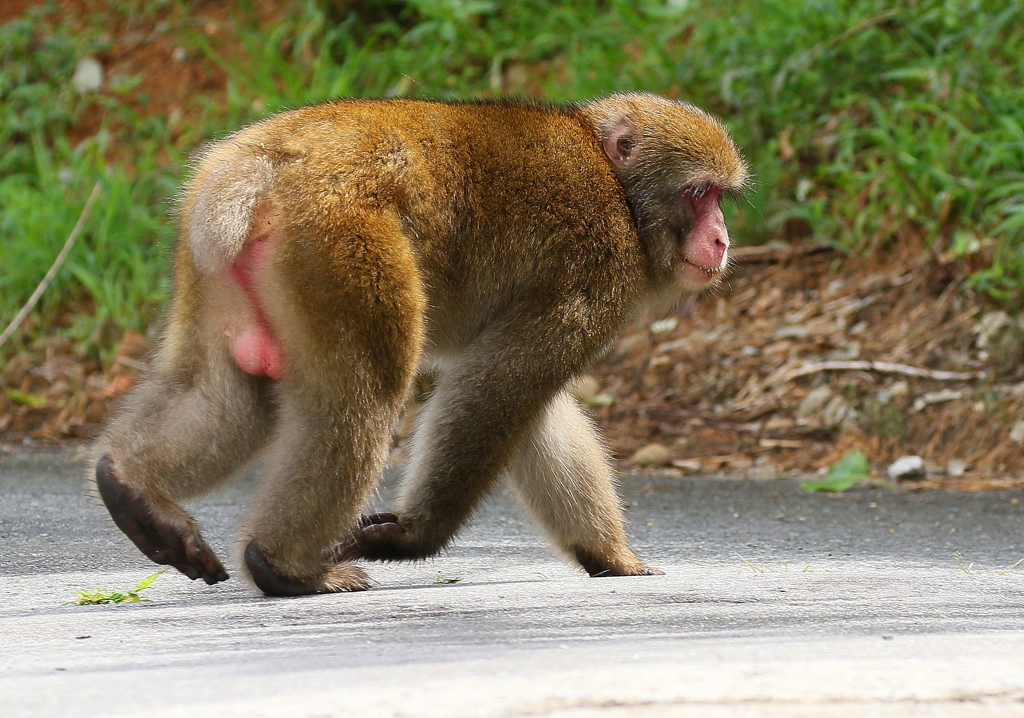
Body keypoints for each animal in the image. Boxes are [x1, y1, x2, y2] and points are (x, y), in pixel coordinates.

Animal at [90, 91, 745, 594]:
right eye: (699, 194)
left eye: (719, 197)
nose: (722, 239)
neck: (618, 191)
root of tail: (261, 163)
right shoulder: (597, 267)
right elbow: (503, 387)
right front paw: (412, 537)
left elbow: (524, 404)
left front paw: (609, 556)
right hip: (338, 242)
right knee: (365, 396)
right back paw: (283, 566)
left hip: (214, 260)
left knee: (225, 391)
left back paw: (134, 492)